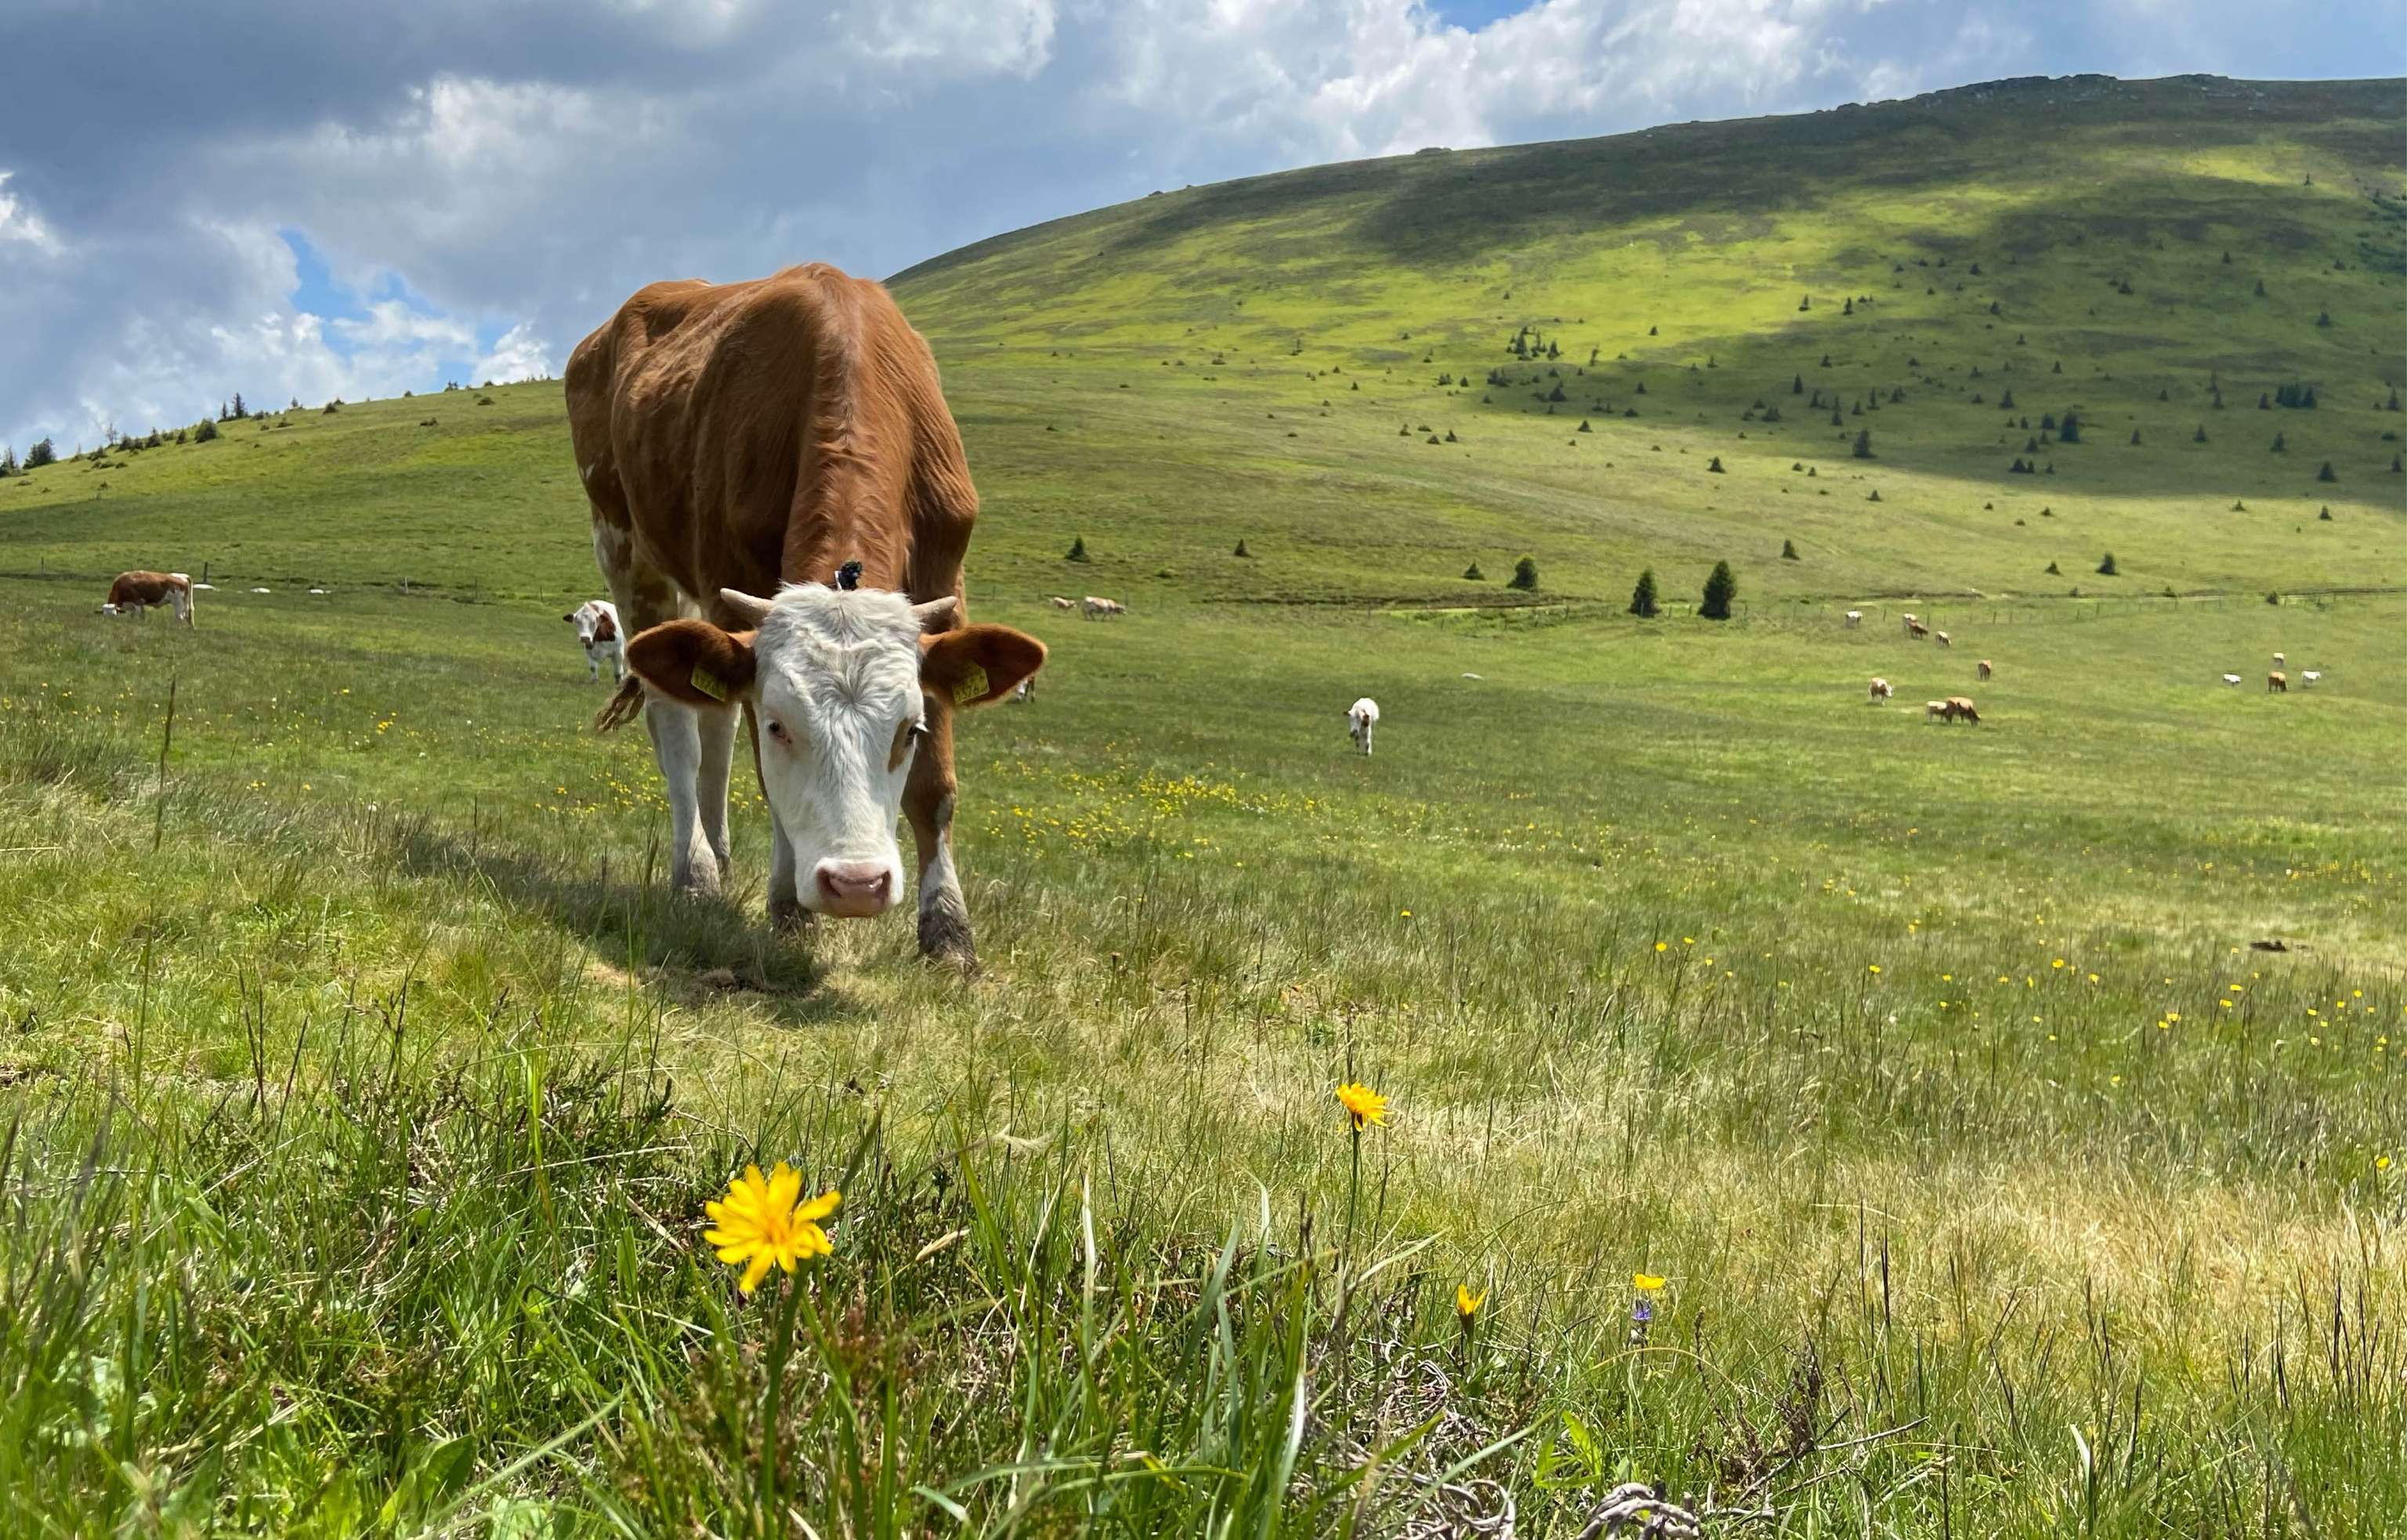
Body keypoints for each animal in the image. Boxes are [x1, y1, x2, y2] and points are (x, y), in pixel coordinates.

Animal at [567, 262, 1045, 970]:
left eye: (910, 730)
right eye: (779, 726)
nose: (855, 885)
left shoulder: (944, 582)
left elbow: (935, 792)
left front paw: (949, 934)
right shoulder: (728, 589)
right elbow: (766, 778)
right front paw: (789, 908)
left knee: (713, 731)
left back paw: (722, 858)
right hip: (626, 553)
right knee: (678, 728)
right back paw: (696, 874)